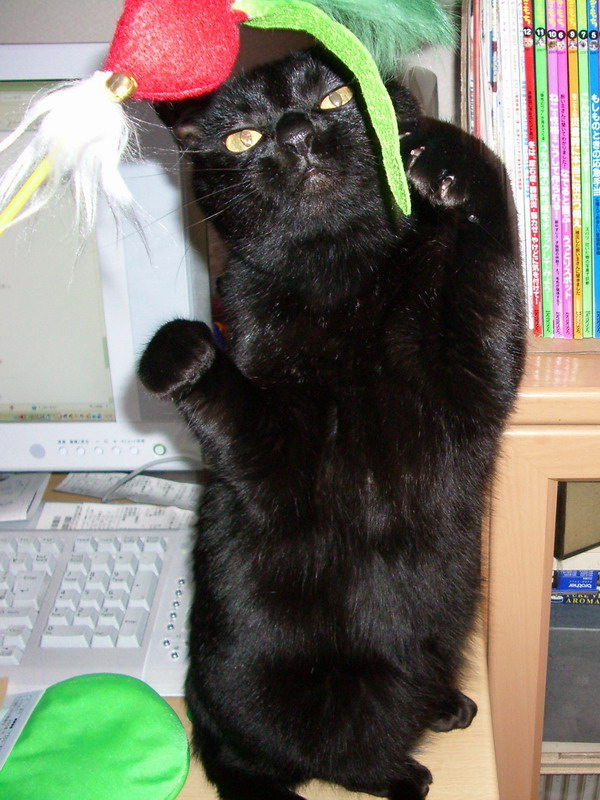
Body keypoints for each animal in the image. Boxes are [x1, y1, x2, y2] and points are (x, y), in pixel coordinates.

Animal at [138, 48, 526, 800]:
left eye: (336, 97)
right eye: (242, 137)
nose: (293, 134)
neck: (341, 281)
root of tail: (207, 718)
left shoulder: (473, 370)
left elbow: (493, 263)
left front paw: (450, 157)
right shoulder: (275, 460)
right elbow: (234, 410)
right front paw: (181, 355)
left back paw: (445, 706)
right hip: (333, 695)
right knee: (344, 758)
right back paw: (408, 774)